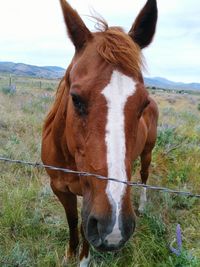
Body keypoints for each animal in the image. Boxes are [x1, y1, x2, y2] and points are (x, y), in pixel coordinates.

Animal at [41, 0, 159, 266]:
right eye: (76, 98)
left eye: (143, 104)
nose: (114, 228)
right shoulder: (60, 188)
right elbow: (73, 220)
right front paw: (70, 253)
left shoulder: (90, 198)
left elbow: (85, 229)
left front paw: (83, 260)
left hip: (147, 152)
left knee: (144, 176)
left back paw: (144, 205)